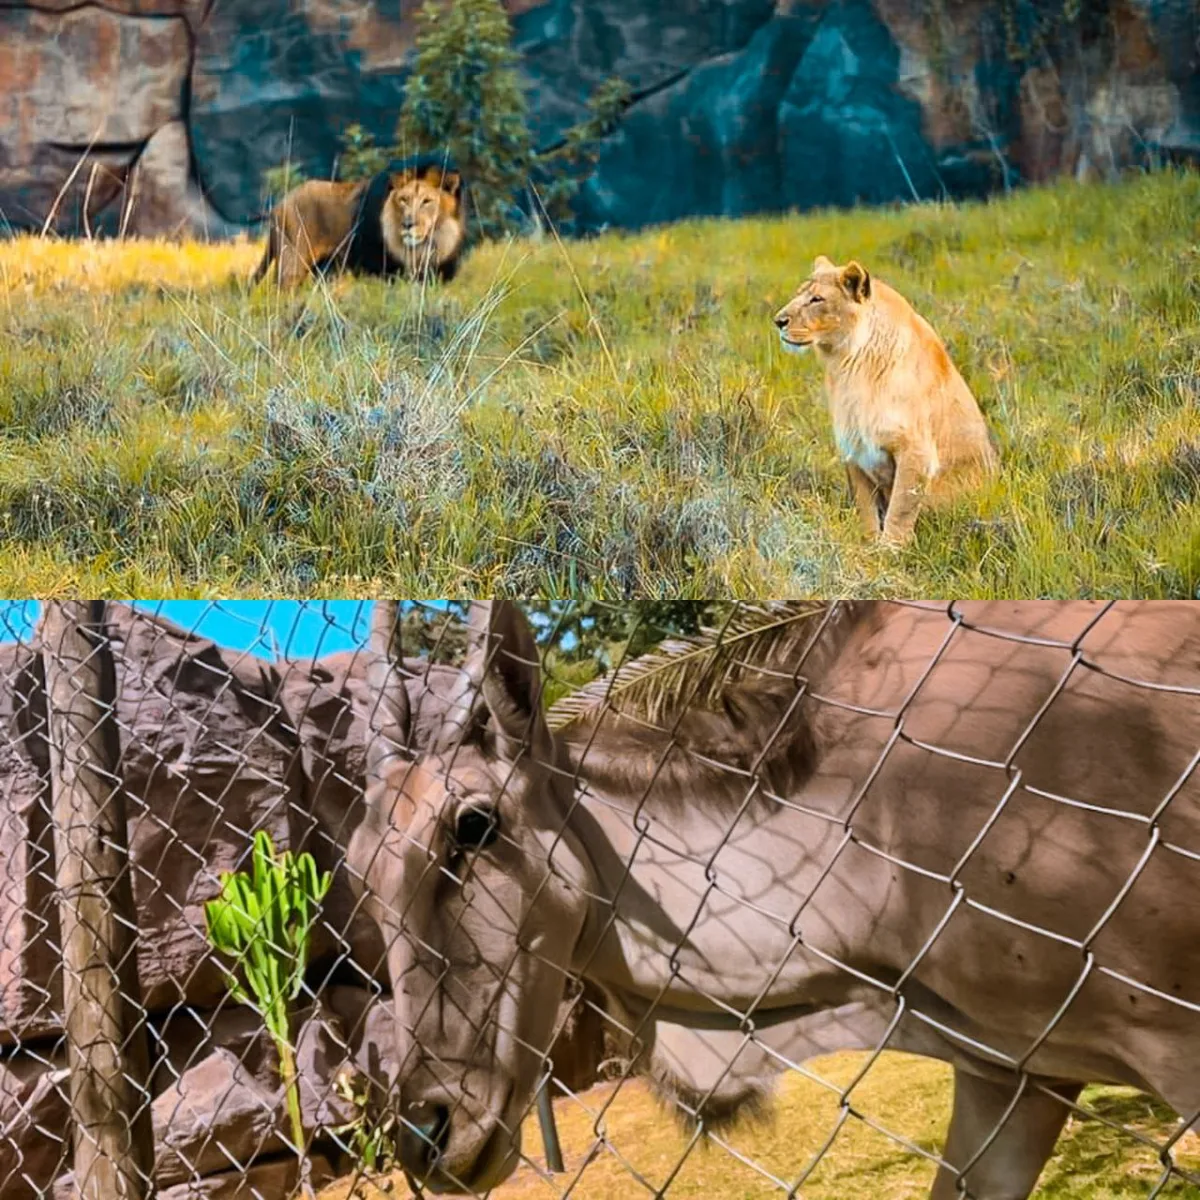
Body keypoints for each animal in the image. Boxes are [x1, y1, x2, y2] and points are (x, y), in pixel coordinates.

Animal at [250, 161, 467, 288]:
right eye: (403, 200)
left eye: (427, 201)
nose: (408, 224)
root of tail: (279, 205)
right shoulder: (389, 273)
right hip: (292, 263)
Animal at [773, 255, 998, 547]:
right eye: (799, 293)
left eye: (817, 299)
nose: (778, 321)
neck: (849, 366)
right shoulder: (854, 449)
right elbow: (865, 509)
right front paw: (868, 545)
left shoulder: (916, 451)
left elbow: (900, 510)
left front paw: (889, 550)